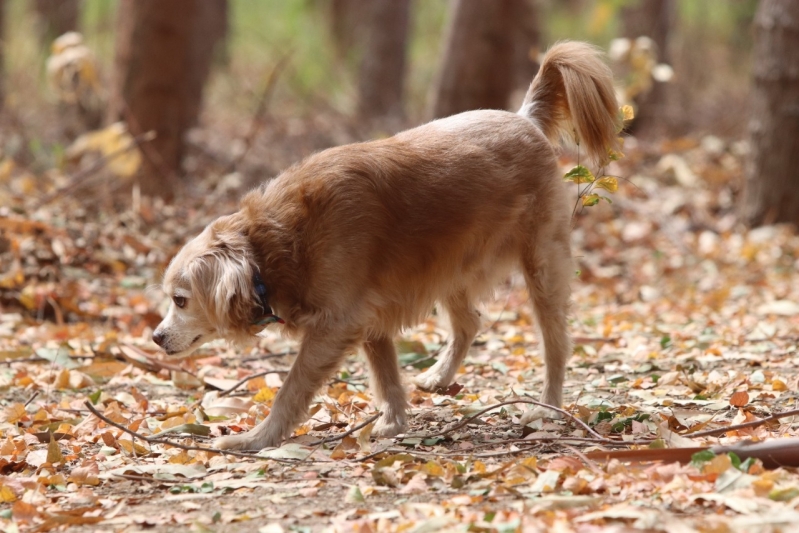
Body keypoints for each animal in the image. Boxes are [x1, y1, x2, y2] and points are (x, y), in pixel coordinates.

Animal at [153, 41, 620, 448]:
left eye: (180, 300)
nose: (156, 337)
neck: (275, 243)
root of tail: (526, 119)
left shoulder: (335, 325)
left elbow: (291, 389)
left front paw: (258, 439)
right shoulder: (369, 315)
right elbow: (387, 377)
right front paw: (395, 422)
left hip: (542, 266)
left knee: (556, 344)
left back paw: (547, 408)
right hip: (449, 265)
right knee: (469, 322)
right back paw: (439, 375)